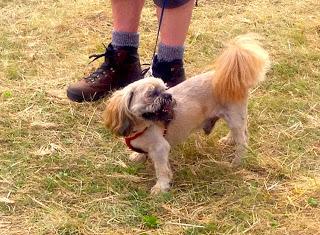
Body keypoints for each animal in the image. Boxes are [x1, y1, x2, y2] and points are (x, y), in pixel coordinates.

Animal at [102, 34, 270, 194]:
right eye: (151, 94)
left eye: (164, 89)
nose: (168, 96)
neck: (141, 127)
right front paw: (139, 156)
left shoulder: (160, 149)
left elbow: (162, 170)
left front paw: (161, 187)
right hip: (234, 117)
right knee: (241, 132)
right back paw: (229, 140)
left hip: (234, 117)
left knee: (243, 140)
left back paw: (236, 161)